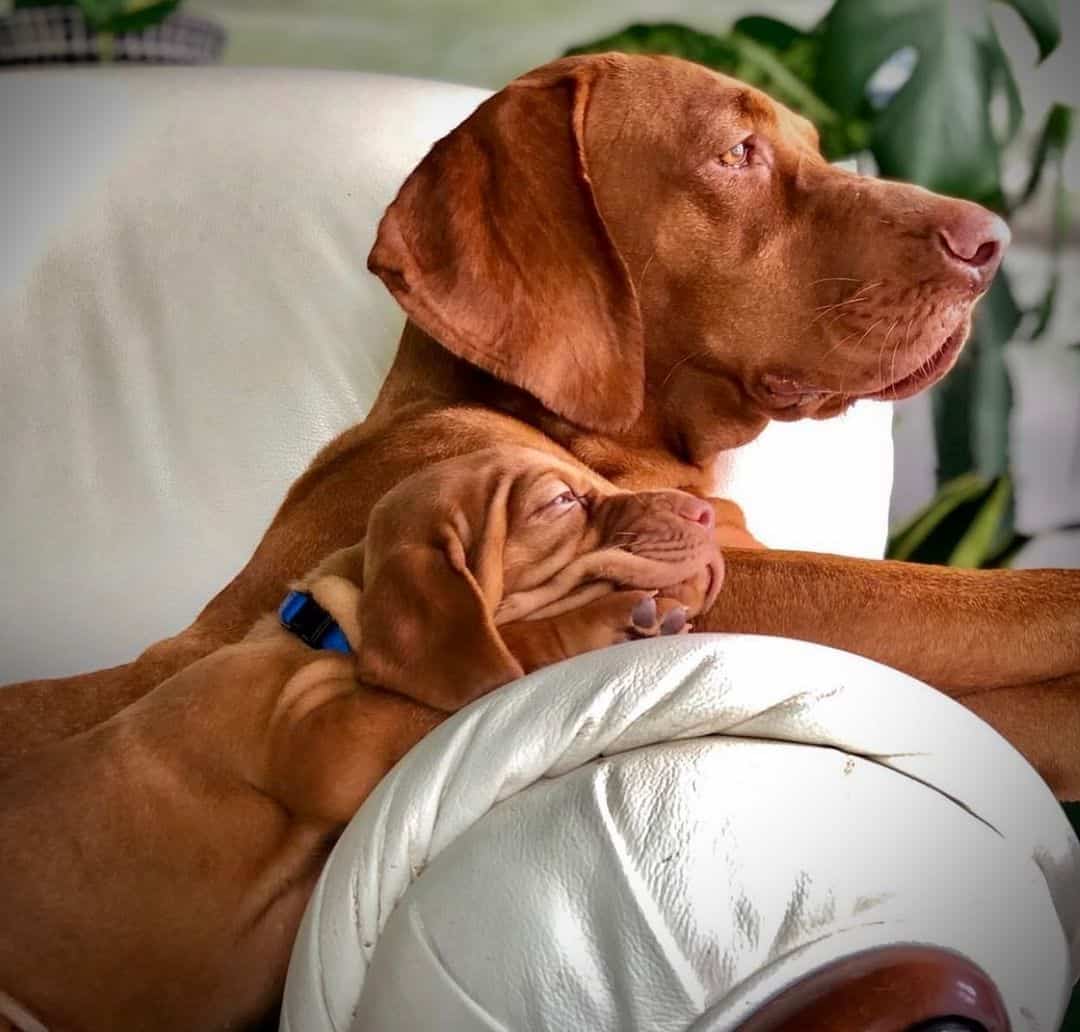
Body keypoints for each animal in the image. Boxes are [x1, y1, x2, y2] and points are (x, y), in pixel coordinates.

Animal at [2, 444, 725, 1032]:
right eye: (560, 502)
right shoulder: (331, 746)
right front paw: (612, 623)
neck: (326, 633)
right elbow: (498, 655)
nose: (707, 515)